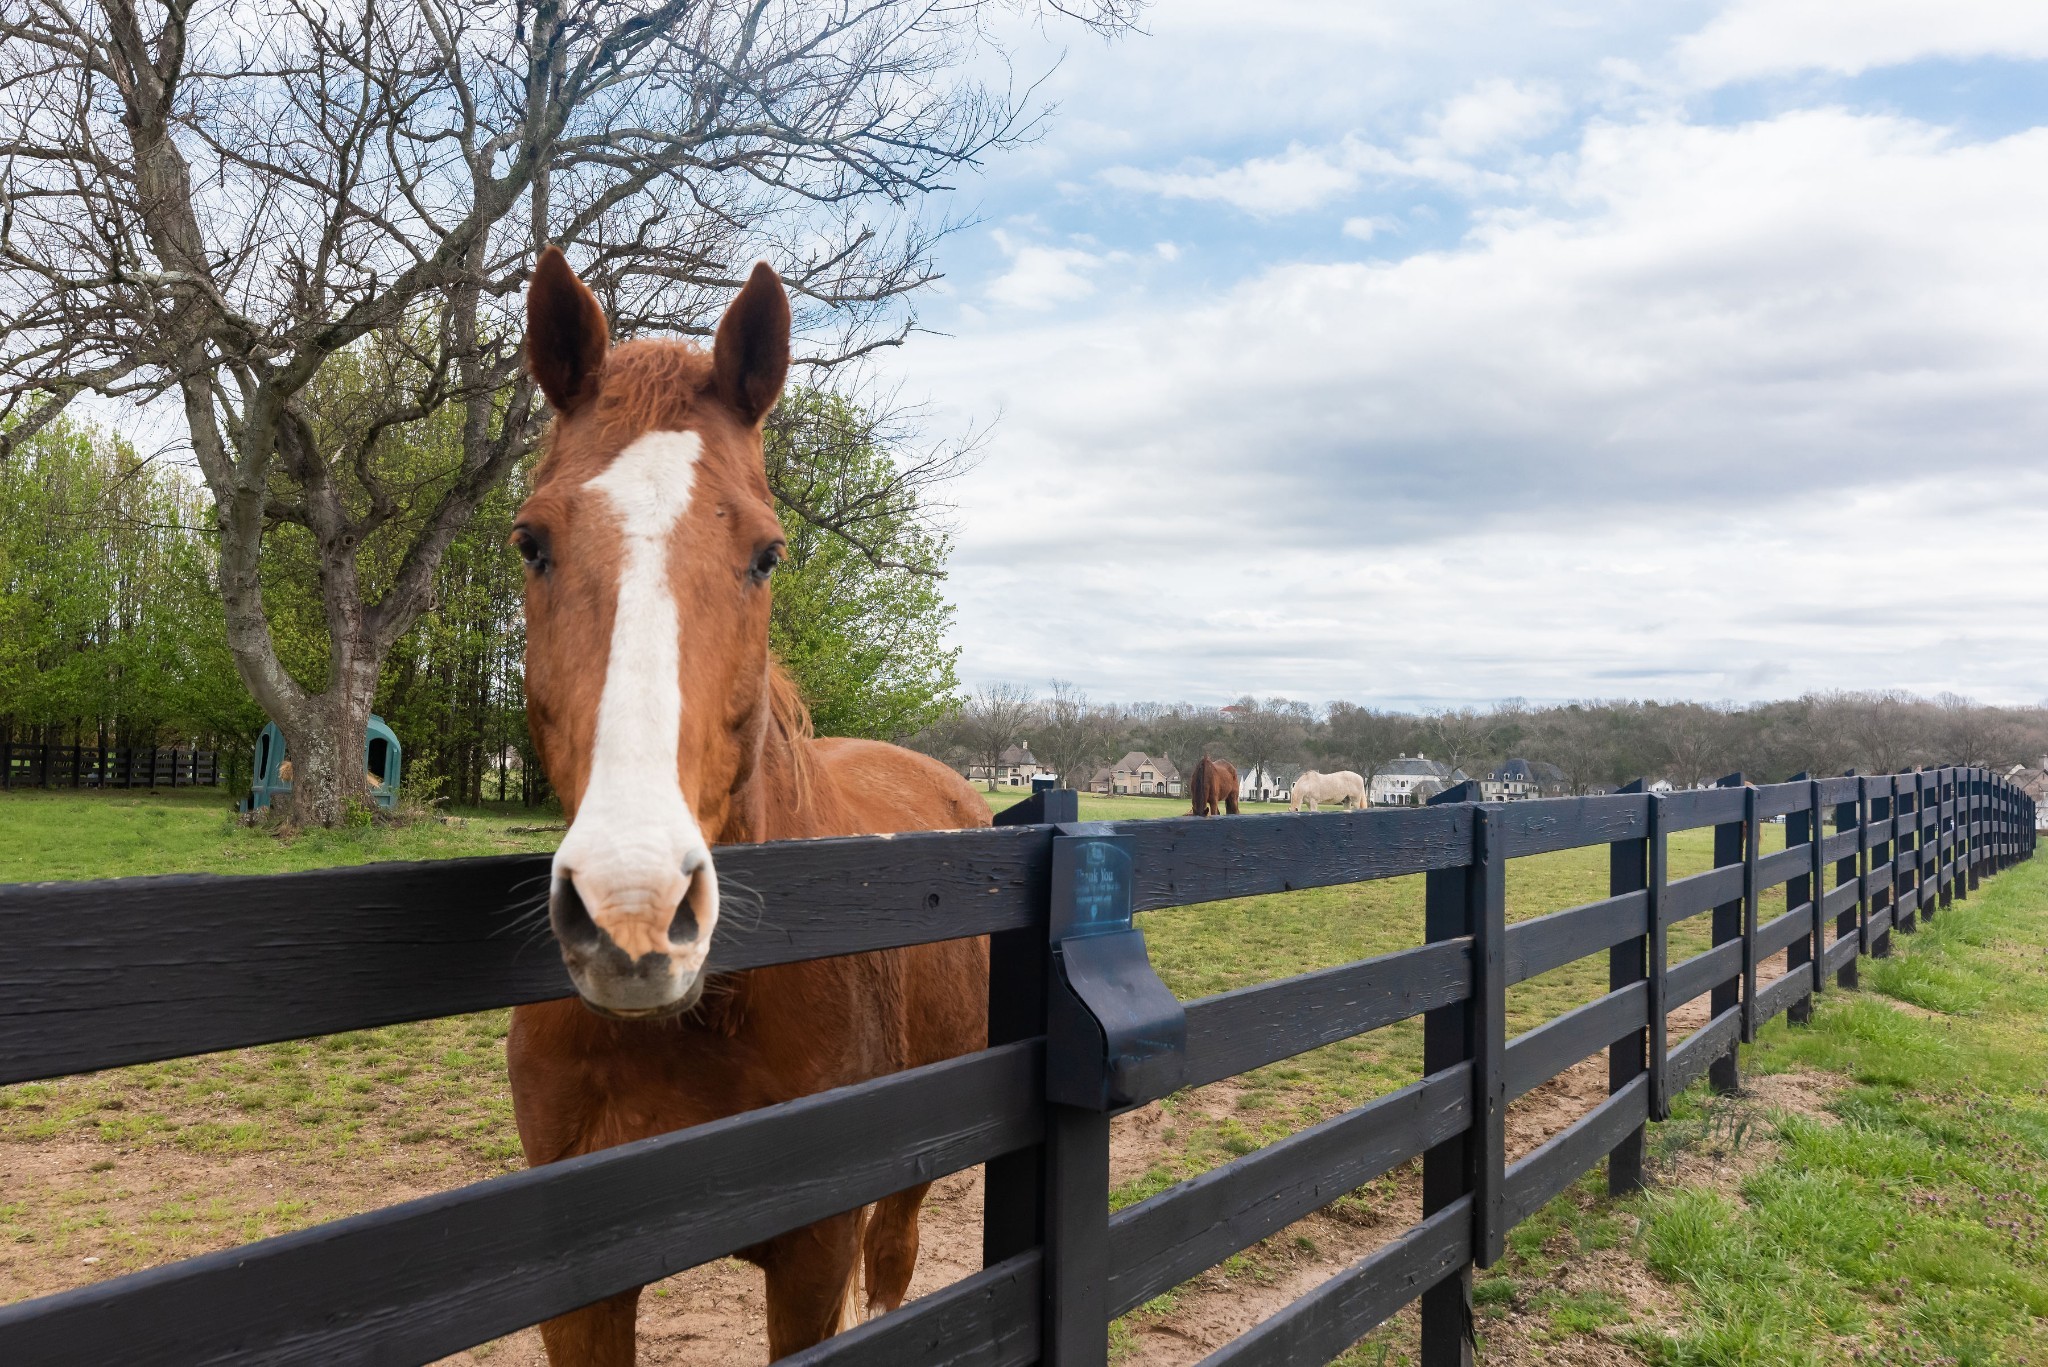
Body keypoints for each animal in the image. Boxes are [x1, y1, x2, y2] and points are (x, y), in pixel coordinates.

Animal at [505, 246, 989, 1364]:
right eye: (530, 542)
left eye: (768, 552)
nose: (634, 916)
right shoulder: (576, 1285)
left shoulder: (814, 1254)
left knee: (896, 1265)